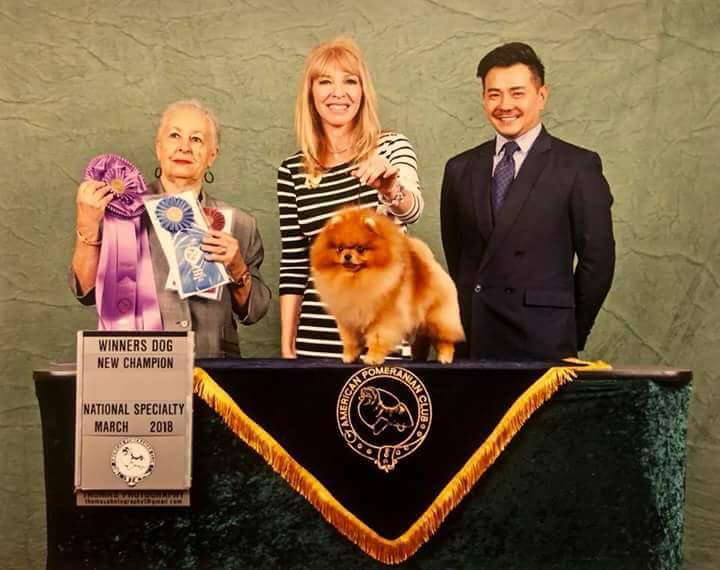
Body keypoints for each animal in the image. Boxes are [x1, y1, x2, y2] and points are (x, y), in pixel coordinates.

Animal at [310, 207, 465, 364]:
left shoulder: (384, 319)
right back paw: (418, 357)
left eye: (360, 248)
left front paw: (373, 358)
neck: (356, 280)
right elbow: (351, 341)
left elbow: (378, 338)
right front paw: (349, 356)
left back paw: (445, 356)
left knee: (443, 339)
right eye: (340, 248)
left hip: (436, 317)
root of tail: (431, 262)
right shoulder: (349, 319)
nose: (347, 256)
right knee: (423, 338)